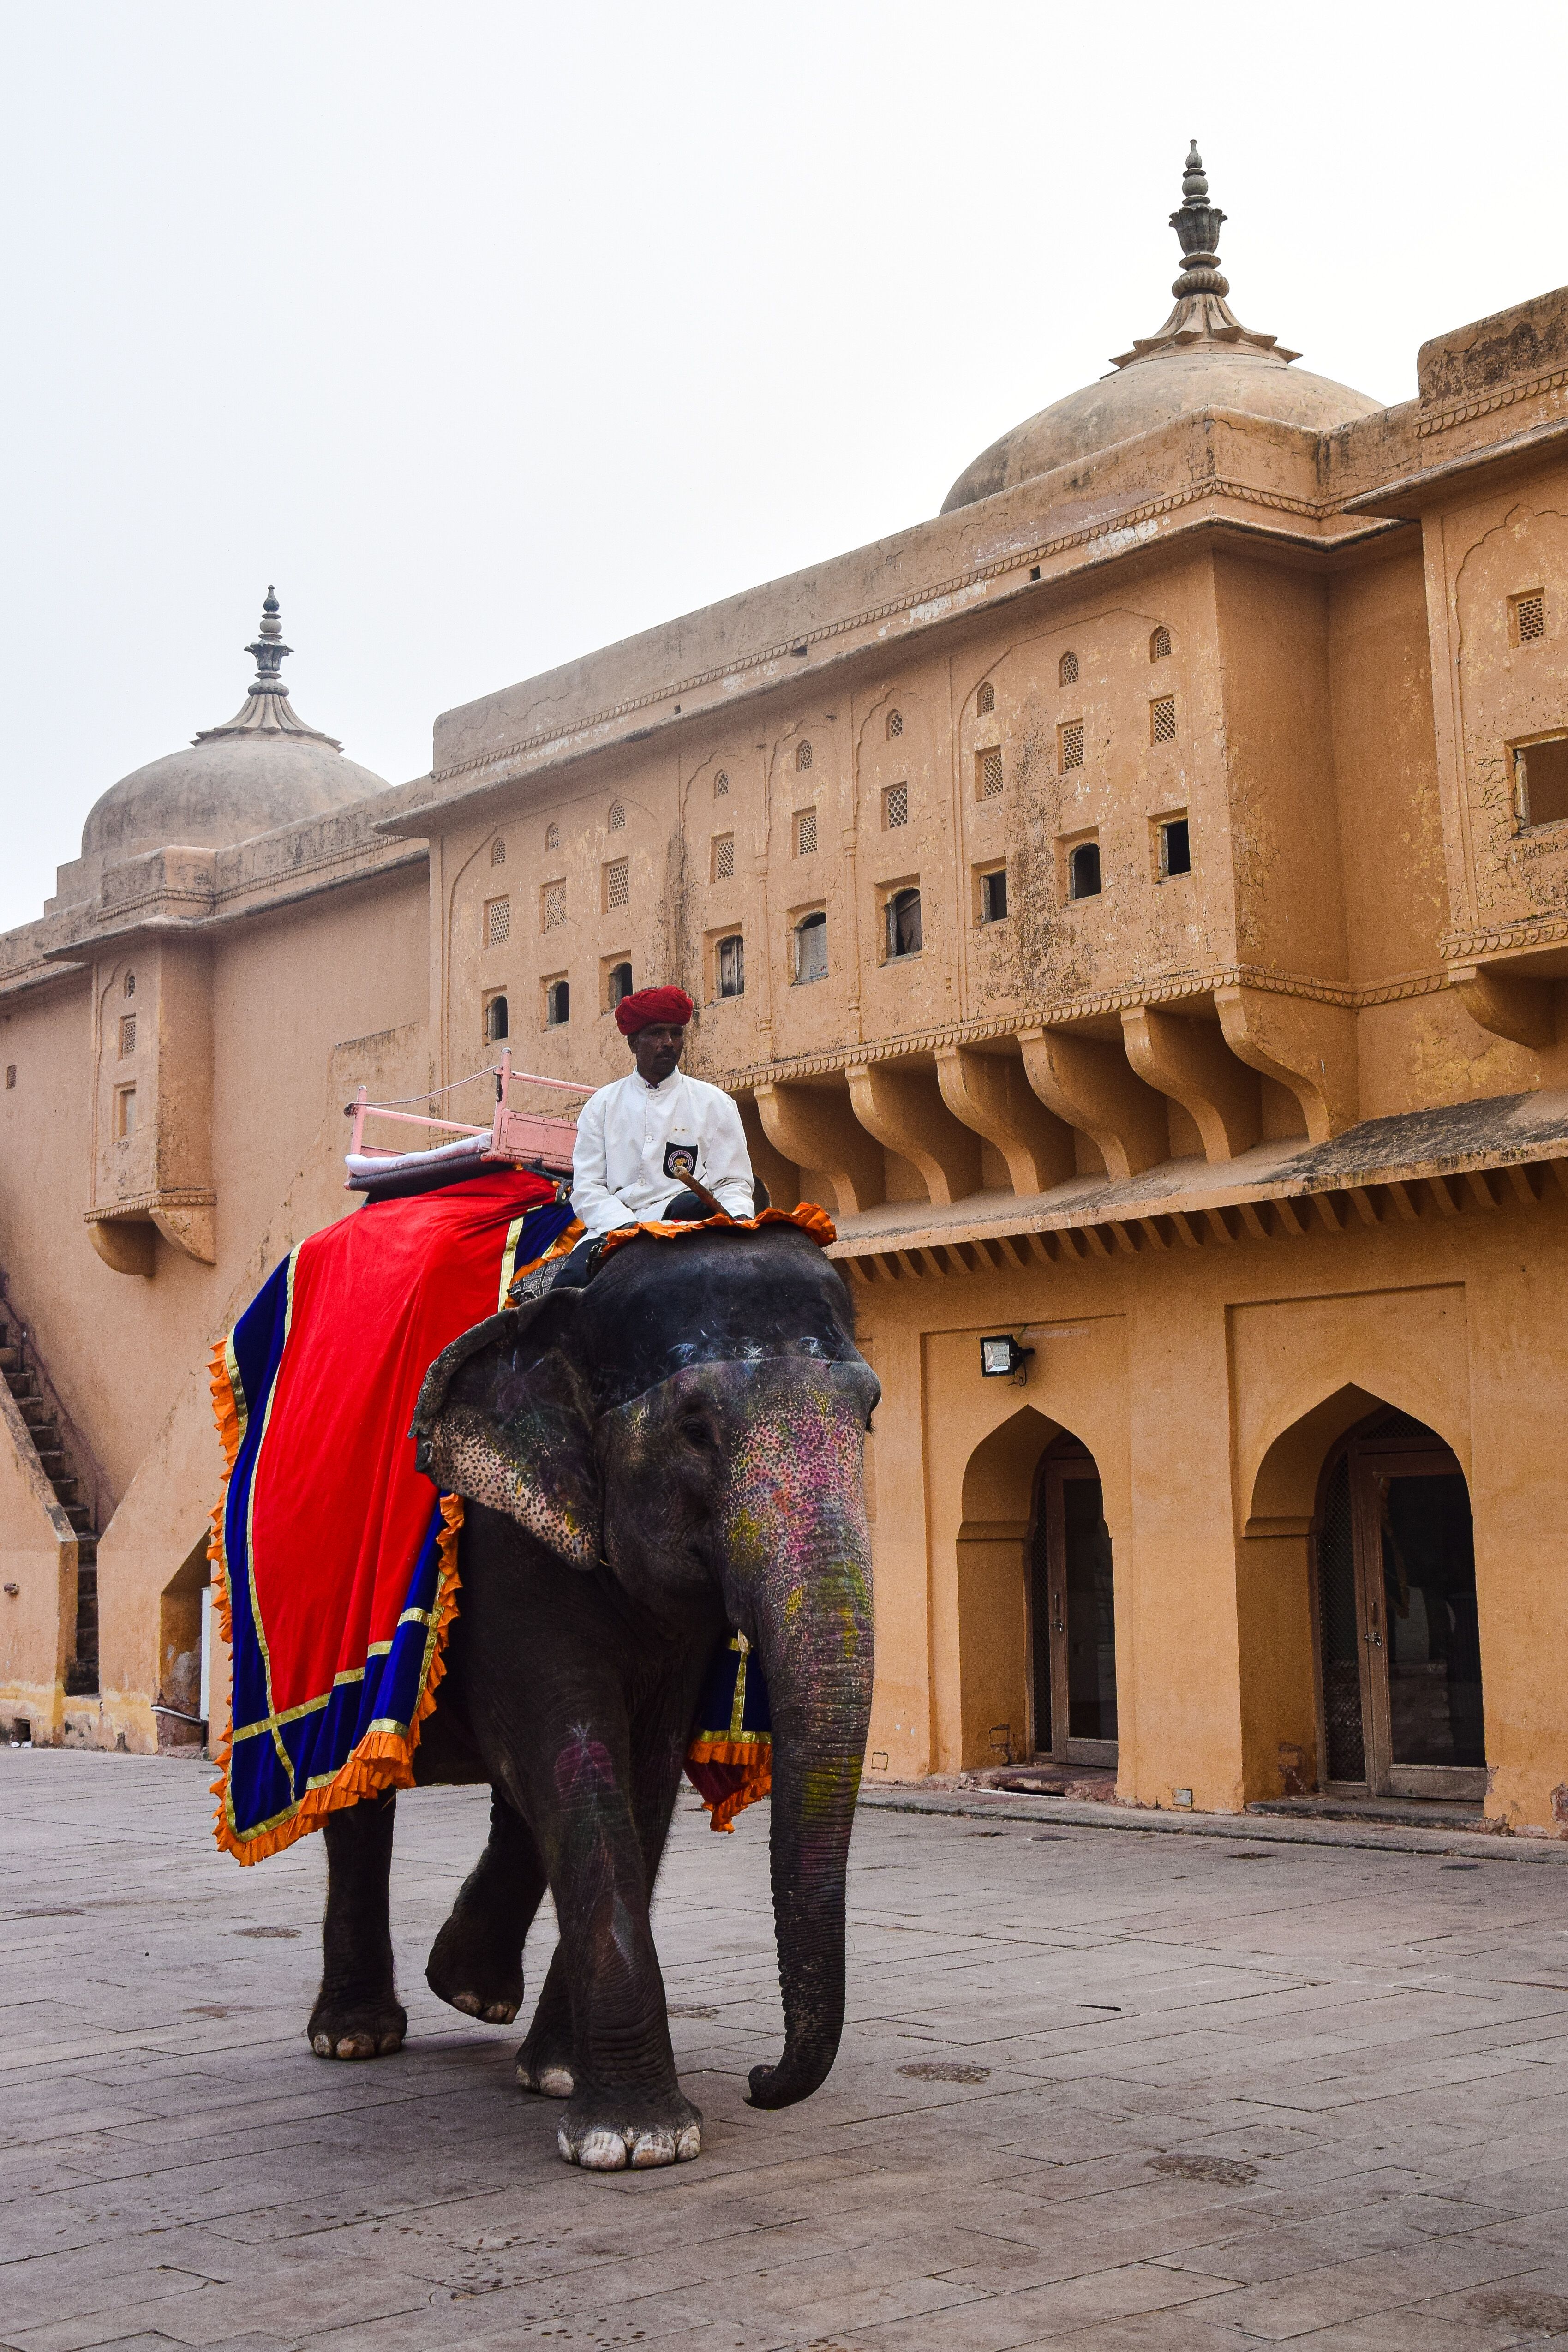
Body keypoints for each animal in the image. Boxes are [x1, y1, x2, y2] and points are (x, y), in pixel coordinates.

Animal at [303, 1218, 878, 2172]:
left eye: (868, 1411)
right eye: (694, 1427)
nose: (761, 2080)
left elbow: (640, 1768)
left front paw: (573, 2086)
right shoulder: (506, 1540)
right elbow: (573, 1745)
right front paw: (638, 2138)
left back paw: (472, 1993)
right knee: (360, 1794)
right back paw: (354, 2036)